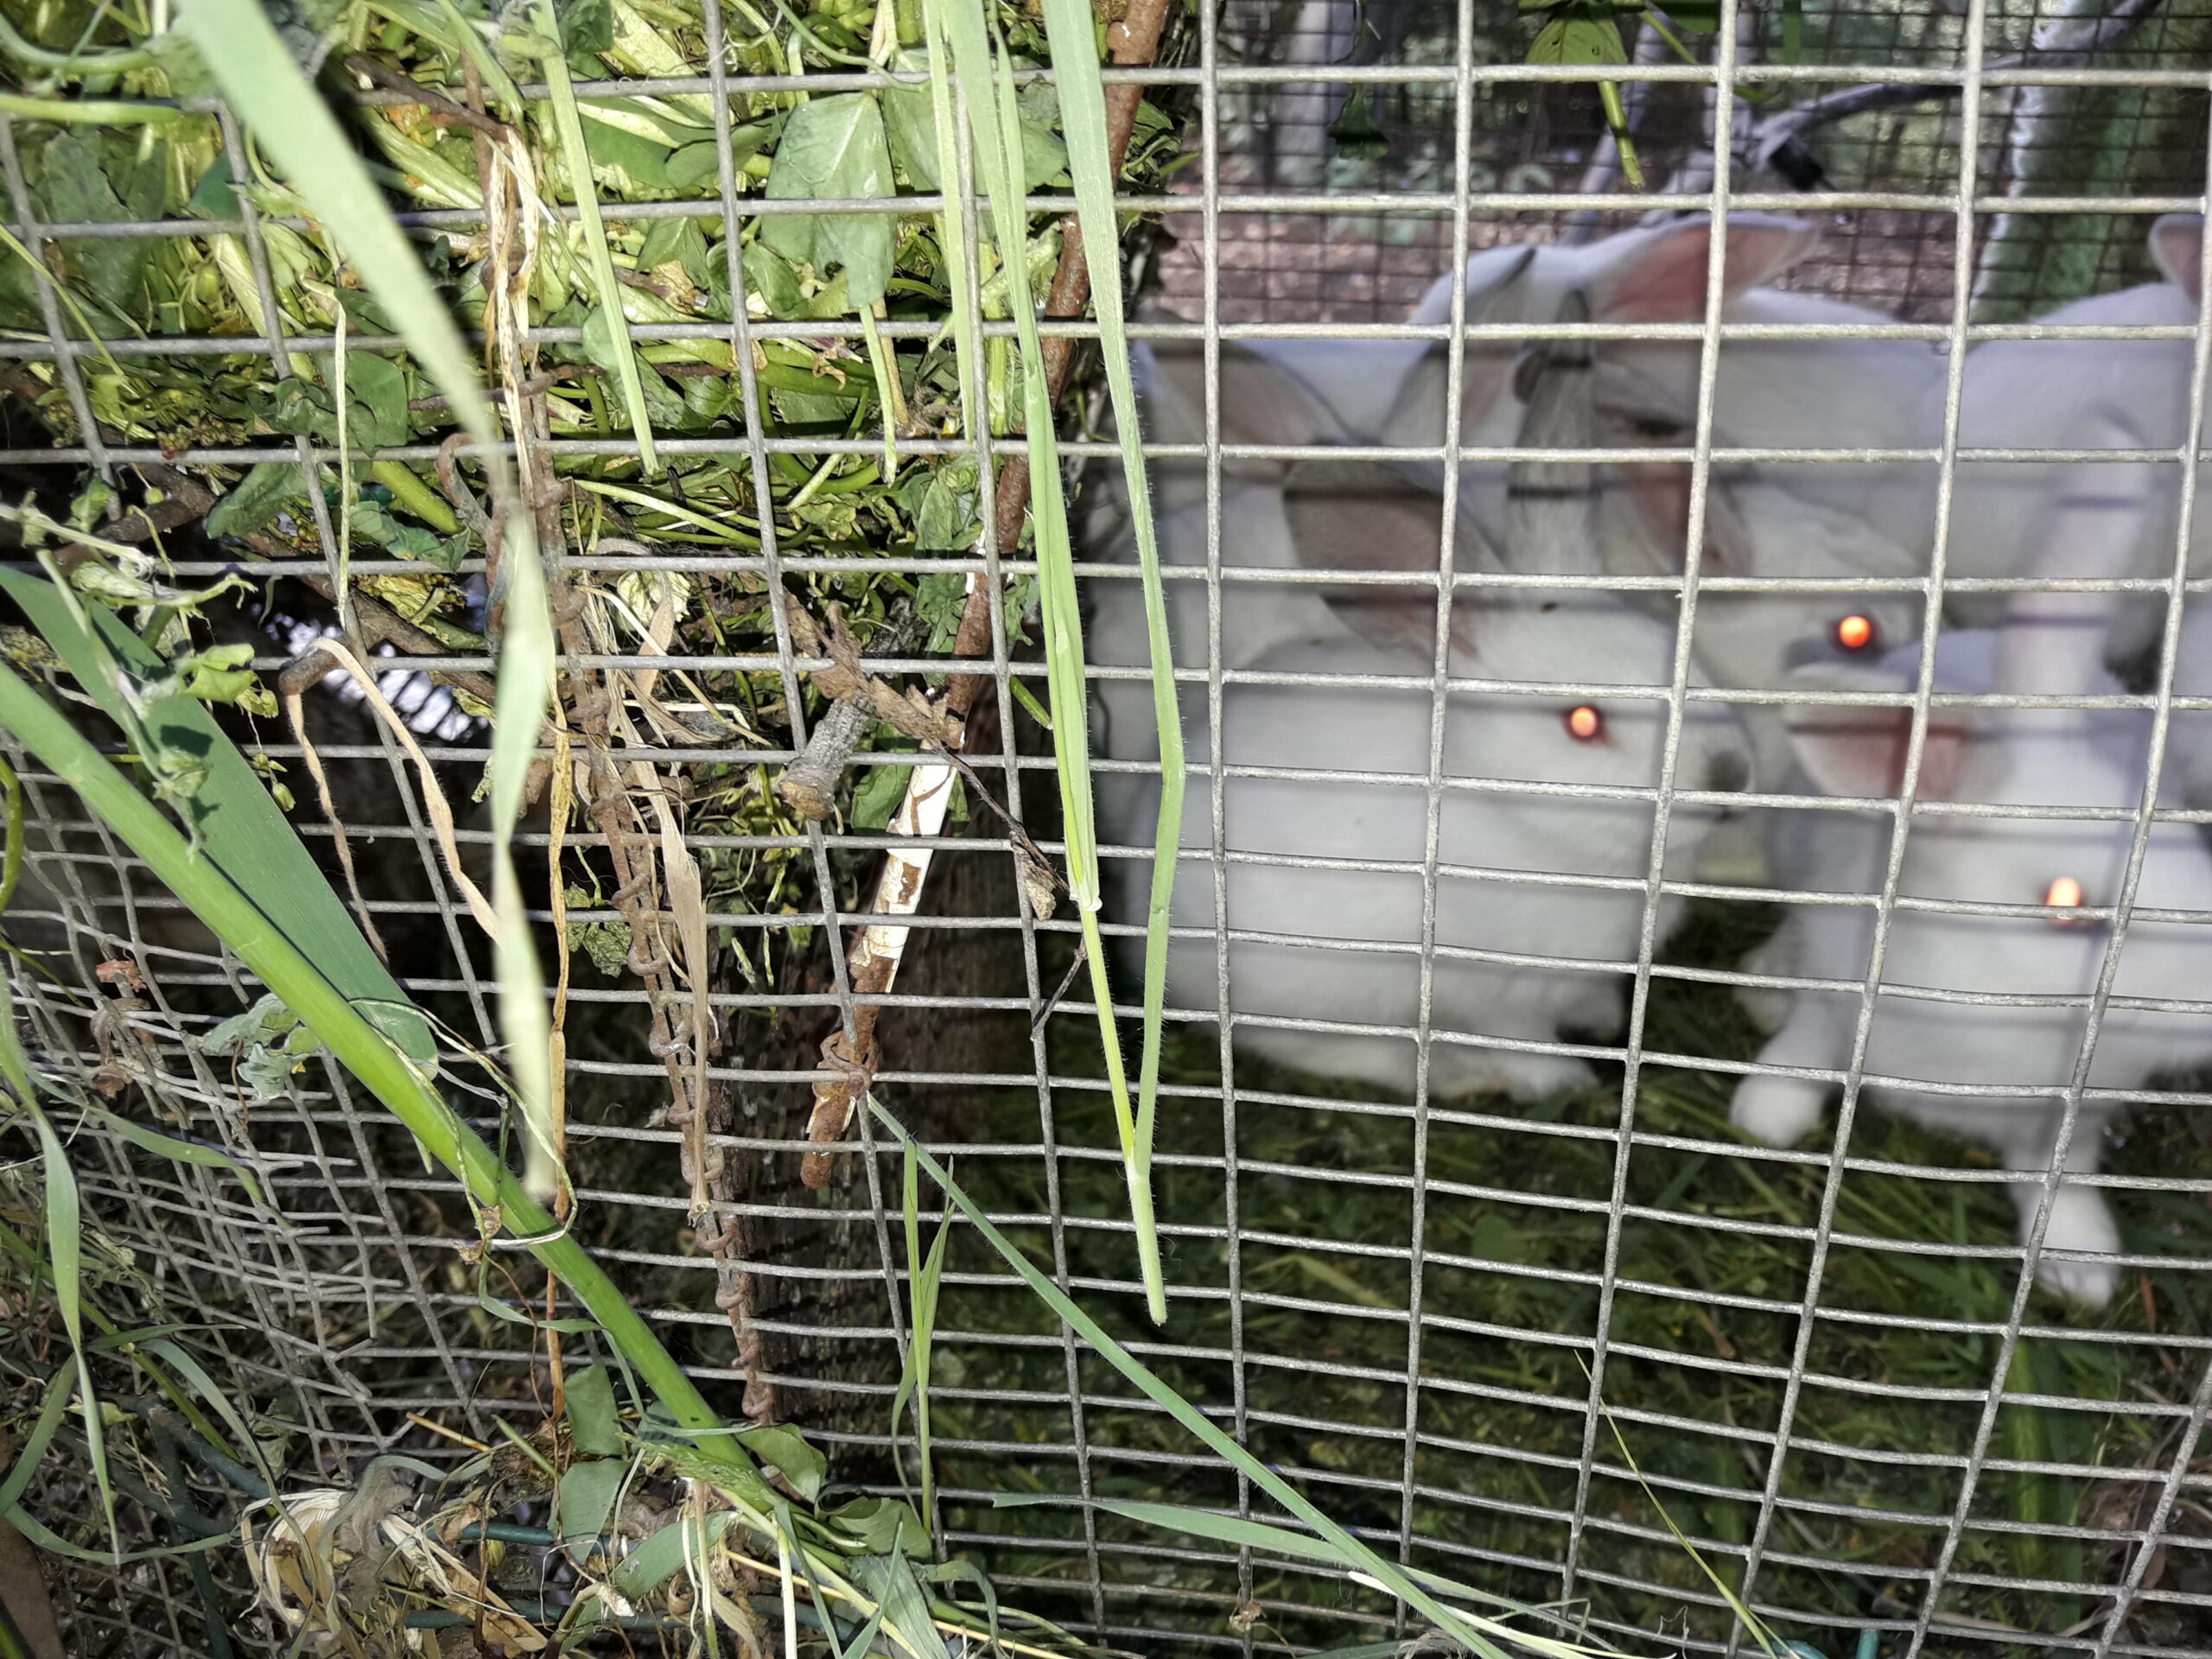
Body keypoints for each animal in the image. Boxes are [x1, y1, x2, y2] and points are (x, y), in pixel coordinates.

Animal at [1725, 601, 2212, 1309]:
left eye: (2194, 840)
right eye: (2065, 903)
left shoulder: (2072, 1114)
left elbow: (2057, 1178)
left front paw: (2081, 1266)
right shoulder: (1838, 995)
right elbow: (1804, 1053)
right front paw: (1763, 1119)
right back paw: (1764, 985)